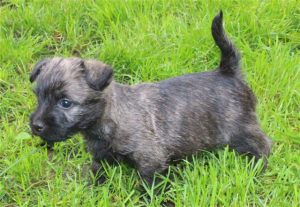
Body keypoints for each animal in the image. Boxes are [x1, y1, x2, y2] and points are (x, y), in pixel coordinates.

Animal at [29, 11, 272, 183]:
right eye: (38, 97)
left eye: (65, 103)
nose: (35, 126)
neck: (108, 120)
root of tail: (228, 72)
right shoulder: (101, 157)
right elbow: (98, 174)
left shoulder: (150, 162)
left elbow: (148, 186)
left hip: (241, 129)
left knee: (263, 144)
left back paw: (257, 169)